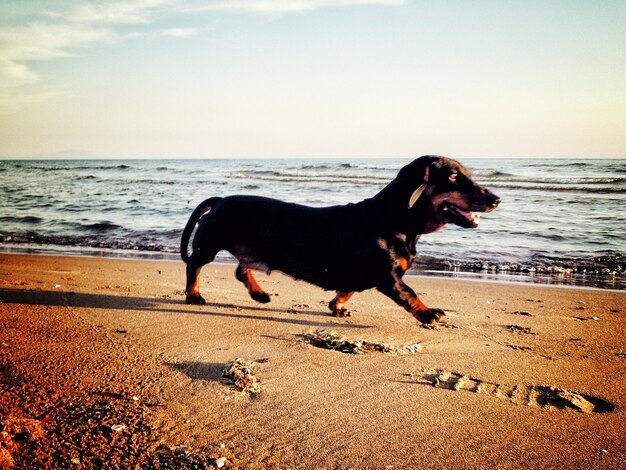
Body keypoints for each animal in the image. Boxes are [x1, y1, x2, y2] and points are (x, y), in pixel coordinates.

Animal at [179, 156, 498, 324]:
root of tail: (220, 200)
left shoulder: (364, 275)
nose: (497, 199)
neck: (391, 218)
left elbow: (348, 289)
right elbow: (409, 293)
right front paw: (428, 313)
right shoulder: (389, 278)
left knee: (241, 269)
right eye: (454, 177)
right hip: (208, 246)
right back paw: (194, 295)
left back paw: (260, 294)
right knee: (194, 267)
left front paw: (338, 306)